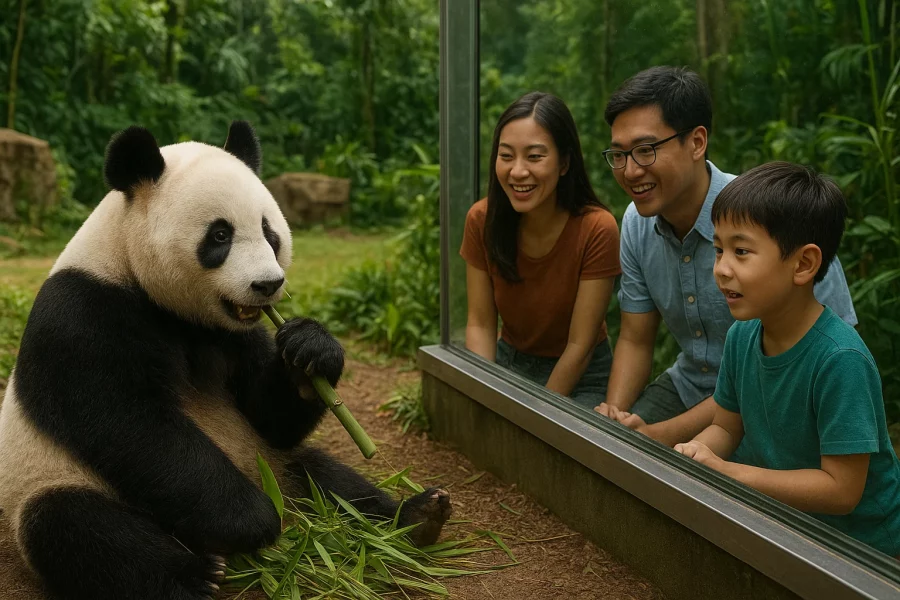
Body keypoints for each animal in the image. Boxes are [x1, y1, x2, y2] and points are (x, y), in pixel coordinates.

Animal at [0, 121, 451, 600]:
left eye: (270, 232)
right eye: (220, 235)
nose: (268, 285)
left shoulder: (236, 334)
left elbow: (269, 412)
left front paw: (311, 349)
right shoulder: (84, 314)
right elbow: (128, 423)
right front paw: (251, 520)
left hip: (271, 459)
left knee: (325, 477)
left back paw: (414, 517)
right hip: (52, 479)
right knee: (82, 532)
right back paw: (198, 573)